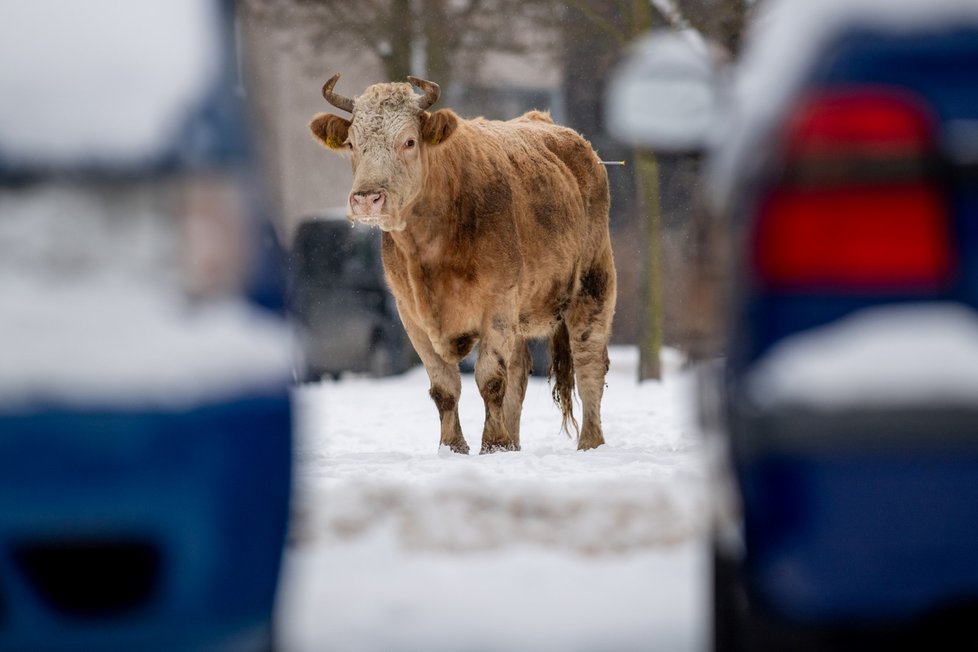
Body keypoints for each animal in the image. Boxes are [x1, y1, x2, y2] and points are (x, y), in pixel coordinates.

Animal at [310, 74, 616, 454]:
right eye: (352, 143)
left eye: (409, 141)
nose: (367, 198)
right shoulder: (410, 314)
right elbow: (444, 386)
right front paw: (453, 447)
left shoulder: (497, 303)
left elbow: (490, 378)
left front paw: (493, 444)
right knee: (519, 371)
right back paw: (514, 444)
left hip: (593, 283)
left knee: (589, 362)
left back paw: (590, 442)